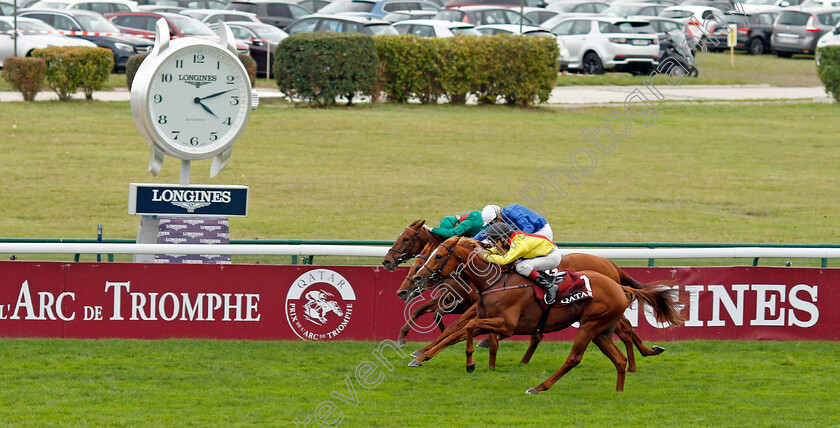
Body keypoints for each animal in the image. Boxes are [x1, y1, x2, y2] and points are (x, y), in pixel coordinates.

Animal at [384, 221, 668, 372]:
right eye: (424, 257)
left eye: (407, 239)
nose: (410, 284)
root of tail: (611, 265)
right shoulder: (465, 304)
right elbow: (438, 320)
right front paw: (416, 347)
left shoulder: (470, 306)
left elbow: (454, 330)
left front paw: (420, 351)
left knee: (625, 327)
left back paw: (638, 359)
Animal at [412, 237, 684, 394]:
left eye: (438, 256)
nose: (418, 277)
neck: (495, 282)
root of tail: (617, 283)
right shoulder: (487, 320)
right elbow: (455, 334)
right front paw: (422, 357)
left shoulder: (506, 325)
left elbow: (464, 330)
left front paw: (469, 363)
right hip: (601, 331)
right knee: (619, 358)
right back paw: (619, 391)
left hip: (590, 325)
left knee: (574, 357)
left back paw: (538, 387)